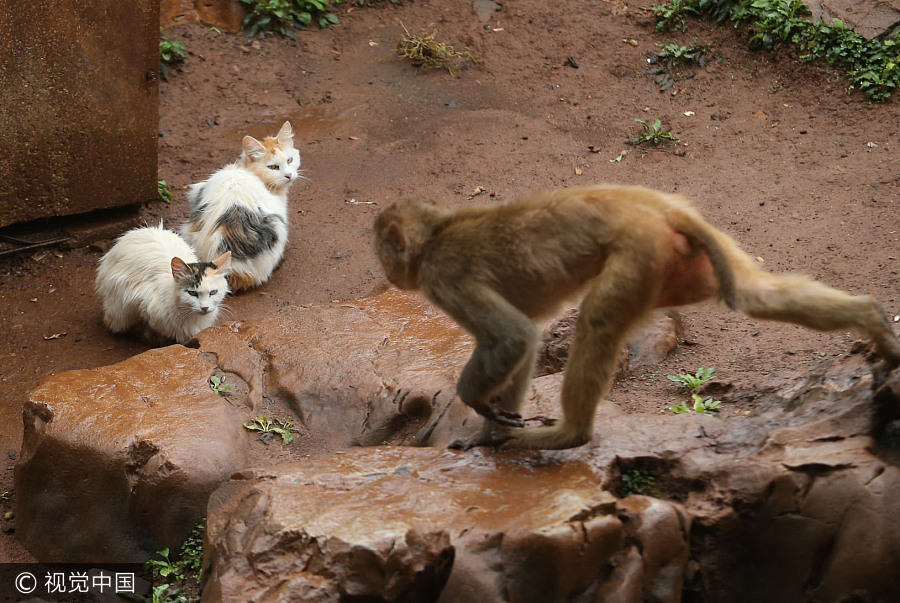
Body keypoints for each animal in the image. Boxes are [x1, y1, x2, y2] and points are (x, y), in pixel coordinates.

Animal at [96, 223, 232, 346]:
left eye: (213, 292)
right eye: (192, 293)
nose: (205, 308)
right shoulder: (140, 303)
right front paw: (154, 339)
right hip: (119, 306)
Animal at [370, 186, 900, 450]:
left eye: (382, 253)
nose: (389, 275)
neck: (437, 234)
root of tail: (658, 206)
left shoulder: (443, 277)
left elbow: (511, 336)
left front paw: (477, 406)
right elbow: (527, 339)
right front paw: (490, 430)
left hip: (641, 254)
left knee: (597, 323)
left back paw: (569, 434)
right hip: (691, 257)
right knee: (755, 295)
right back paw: (873, 321)